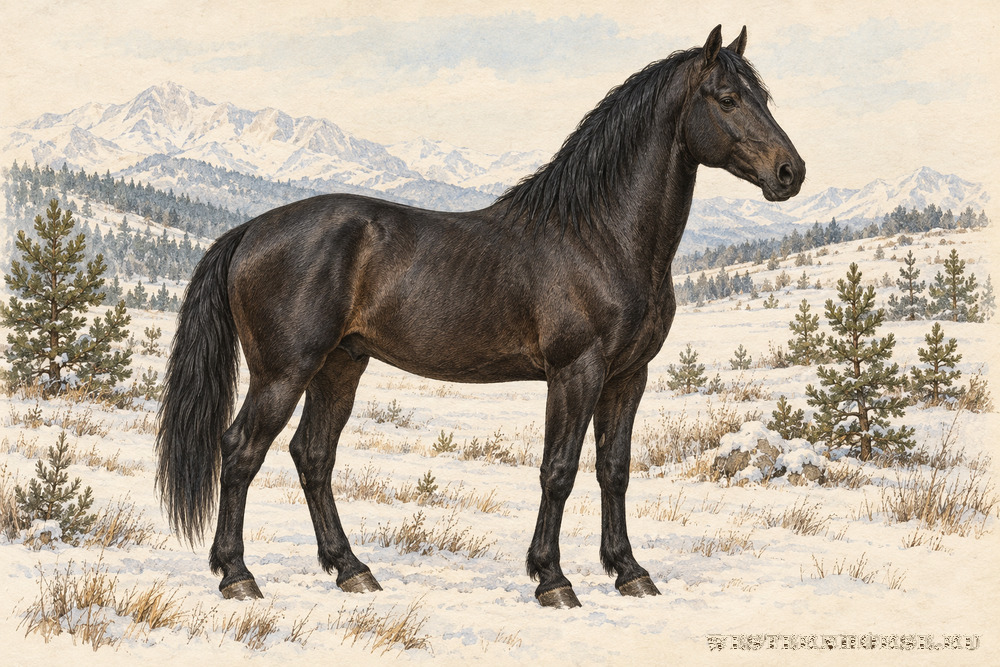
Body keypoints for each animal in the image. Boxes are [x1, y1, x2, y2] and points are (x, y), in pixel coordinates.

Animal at [155, 25, 804, 609]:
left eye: (764, 98)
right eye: (727, 98)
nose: (790, 173)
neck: (599, 236)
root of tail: (249, 230)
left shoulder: (627, 376)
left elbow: (614, 470)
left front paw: (630, 573)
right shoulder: (577, 372)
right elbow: (559, 470)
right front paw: (553, 580)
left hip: (339, 366)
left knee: (313, 457)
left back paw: (352, 571)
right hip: (283, 373)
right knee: (241, 450)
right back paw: (238, 577)